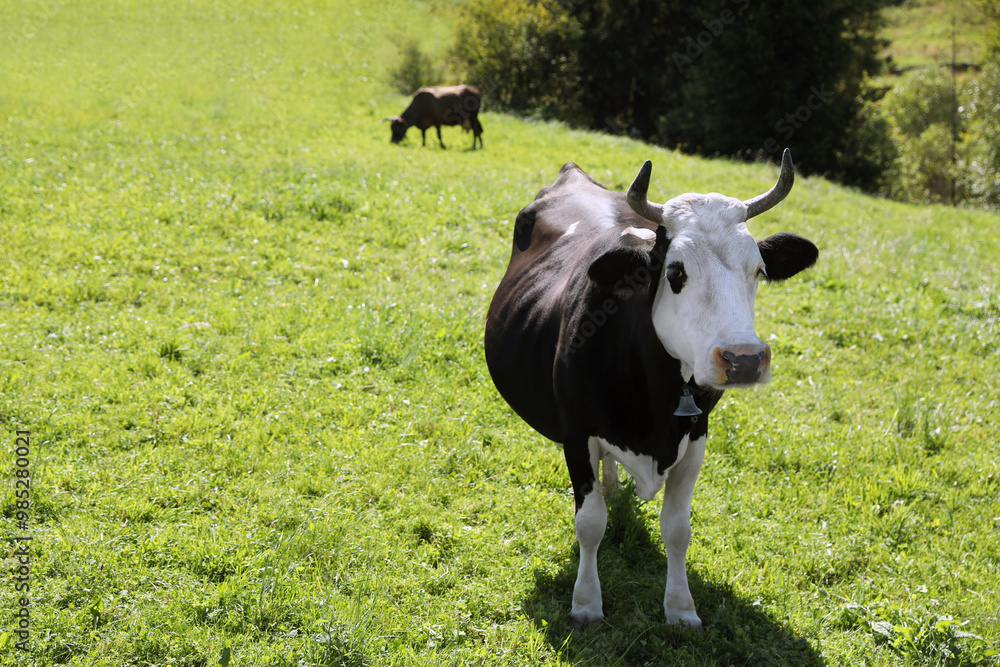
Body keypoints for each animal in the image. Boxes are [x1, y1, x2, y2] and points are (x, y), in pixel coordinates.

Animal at [483, 150, 817, 630]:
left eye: (759, 269)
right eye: (676, 271)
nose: (745, 359)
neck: (655, 402)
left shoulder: (696, 435)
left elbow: (678, 529)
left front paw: (680, 608)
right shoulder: (577, 432)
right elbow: (590, 523)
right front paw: (586, 603)